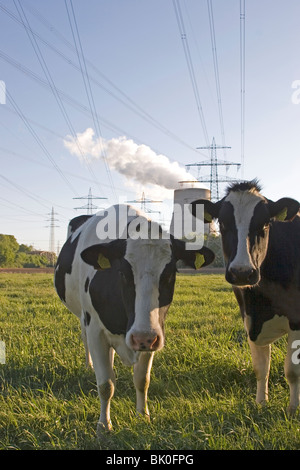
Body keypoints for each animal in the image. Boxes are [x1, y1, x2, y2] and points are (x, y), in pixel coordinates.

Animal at [54, 204, 213, 432]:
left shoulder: (153, 334)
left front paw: (142, 415)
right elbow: (106, 384)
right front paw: (104, 425)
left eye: (170, 273)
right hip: (84, 318)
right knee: (84, 340)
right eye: (122, 272)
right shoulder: (96, 330)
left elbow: (141, 379)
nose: (141, 338)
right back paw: (89, 366)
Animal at [191, 182, 300, 414]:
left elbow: (292, 370)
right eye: (223, 223)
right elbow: (261, 368)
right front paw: (261, 403)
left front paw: (294, 408)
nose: (242, 272)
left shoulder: (297, 320)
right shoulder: (249, 318)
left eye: (266, 224)